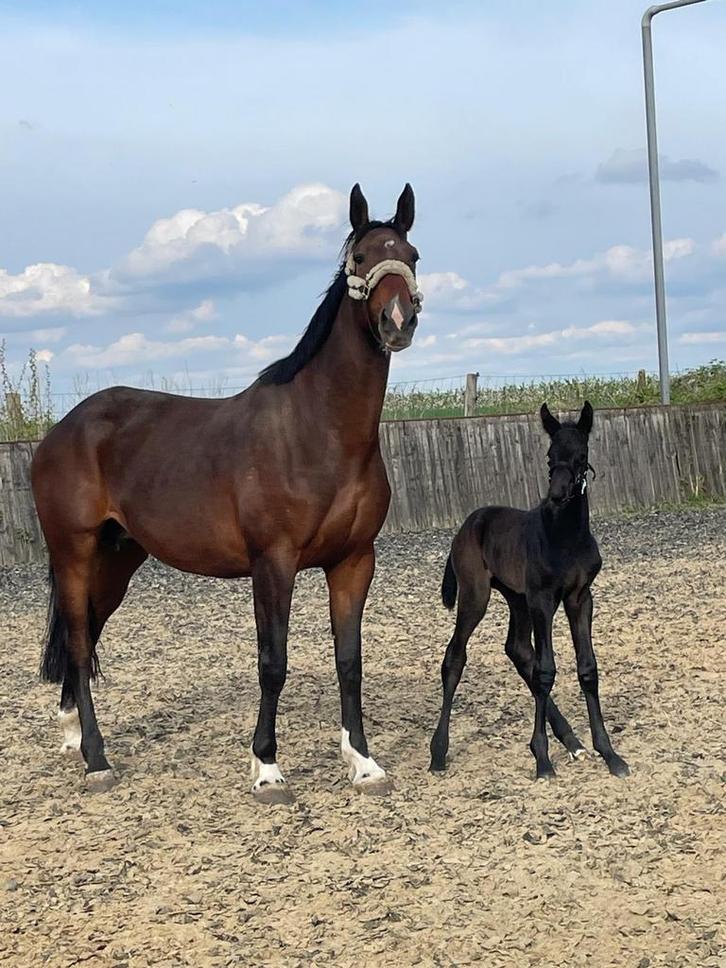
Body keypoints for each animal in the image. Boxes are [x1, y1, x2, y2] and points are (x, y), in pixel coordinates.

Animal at [32, 183, 423, 803]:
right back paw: (96, 760)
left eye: (412, 257)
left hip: (116, 559)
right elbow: (273, 662)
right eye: (360, 258)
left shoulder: (354, 561)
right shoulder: (273, 563)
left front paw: (363, 763)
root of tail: (62, 430)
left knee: (85, 636)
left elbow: (350, 661)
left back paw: (73, 737)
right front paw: (267, 769)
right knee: (75, 640)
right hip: (74, 551)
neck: (317, 430)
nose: (398, 320)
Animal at [429, 402, 629, 781]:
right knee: (455, 656)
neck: (566, 537)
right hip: (476, 595)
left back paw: (573, 742)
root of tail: (468, 524)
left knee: (518, 650)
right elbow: (546, 669)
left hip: (515, 597)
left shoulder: (580, 597)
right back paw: (437, 753)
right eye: (550, 455)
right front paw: (542, 761)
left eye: (581, 456)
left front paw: (610, 754)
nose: (557, 494)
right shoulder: (543, 598)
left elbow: (587, 668)